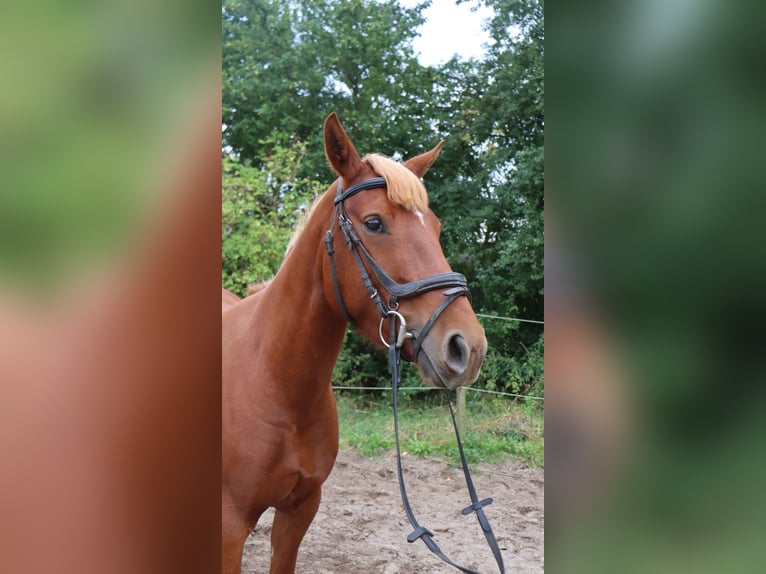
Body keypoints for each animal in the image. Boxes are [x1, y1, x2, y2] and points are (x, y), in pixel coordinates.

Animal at [224, 113, 486, 574]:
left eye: (435, 227)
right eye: (375, 223)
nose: (466, 347)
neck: (273, 383)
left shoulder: (299, 511)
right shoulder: (230, 525)